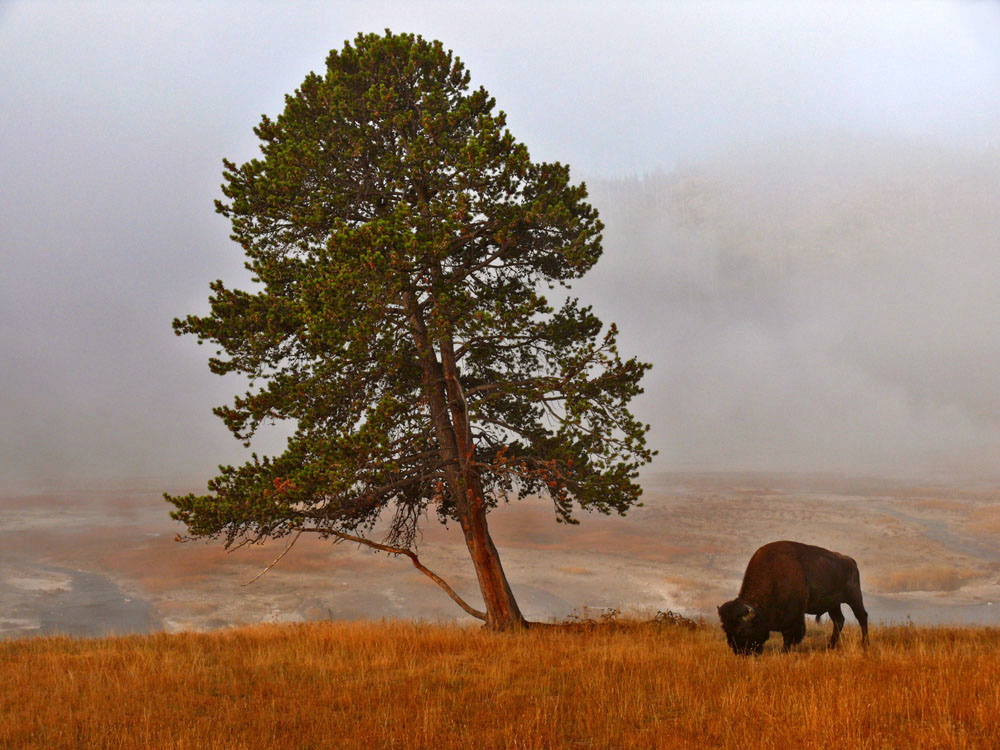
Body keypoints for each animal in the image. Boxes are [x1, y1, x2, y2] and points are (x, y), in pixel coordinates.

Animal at [720, 540, 868, 656]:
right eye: (726, 630)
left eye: (742, 630)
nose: (740, 652)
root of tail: (850, 561)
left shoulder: (793, 616)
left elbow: (788, 635)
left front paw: (784, 652)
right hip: (833, 605)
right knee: (839, 621)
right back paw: (830, 646)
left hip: (854, 597)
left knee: (862, 617)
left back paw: (865, 645)